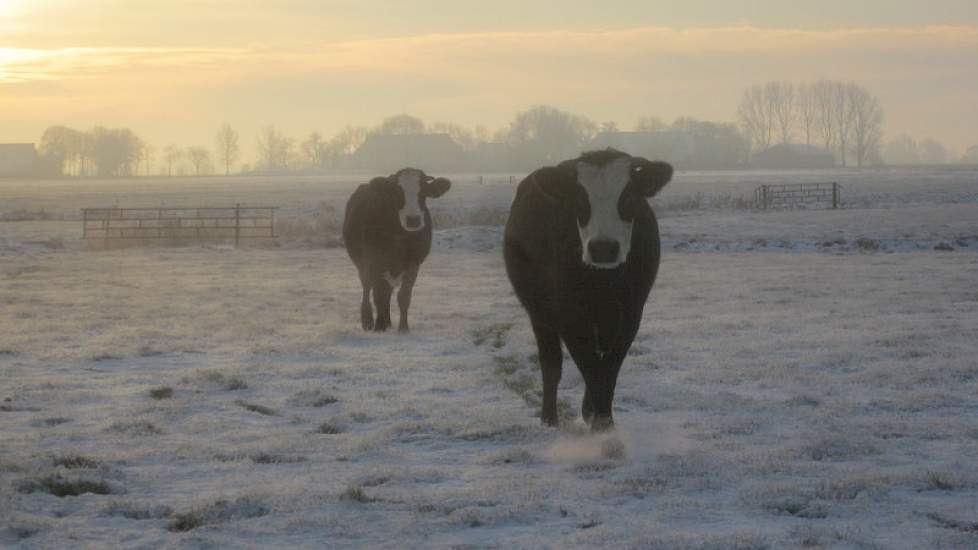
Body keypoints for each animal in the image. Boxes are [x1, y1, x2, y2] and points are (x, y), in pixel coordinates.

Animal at [344, 168, 450, 332]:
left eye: (423, 192)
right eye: (397, 192)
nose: (413, 219)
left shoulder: (414, 264)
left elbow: (404, 296)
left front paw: (403, 329)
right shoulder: (376, 261)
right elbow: (378, 295)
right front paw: (379, 328)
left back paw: (387, 322)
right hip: (363, 264)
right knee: (367, 287)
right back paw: (368, 321)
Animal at [504, 149, 672, 434]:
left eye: (629, 197)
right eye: (580, 200)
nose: (603, 248)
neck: (603, 282)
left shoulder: (631, 315)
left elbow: (609, 369)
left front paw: (601, 421)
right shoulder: (571, 318)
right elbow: (591, 368)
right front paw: (601, 427)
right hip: (539, 314)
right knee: (551, 363)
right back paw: (549, 418)